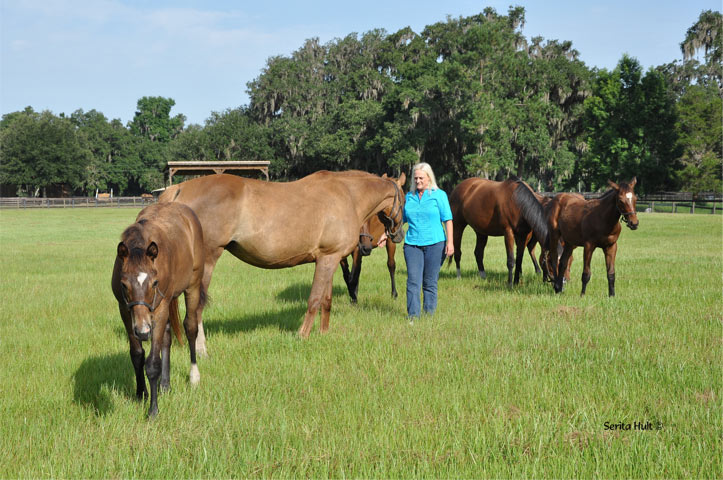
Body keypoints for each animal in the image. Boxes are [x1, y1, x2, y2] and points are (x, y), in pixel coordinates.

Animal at [111, 202, 206, 416]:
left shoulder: (159, 308)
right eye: (124, 285)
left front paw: (153, 410)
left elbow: (153, 362)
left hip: (192, 286)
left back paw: (194, 377)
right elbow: (137, 355)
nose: (143, 331)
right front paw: (141, 394)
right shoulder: (124, 310)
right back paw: (165, 384)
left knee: (190, 327)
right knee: (167, 337)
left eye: (154, 283)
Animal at [160, 171, 408, 340]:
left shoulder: (330, 258)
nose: (397, 235)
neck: (347, 196)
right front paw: (302, 335)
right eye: (405, 200)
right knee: (195, 310)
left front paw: (323, 333)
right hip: (206, 263)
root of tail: (179, 189)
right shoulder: (328, 259)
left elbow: (326, 300)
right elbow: (314, 299)